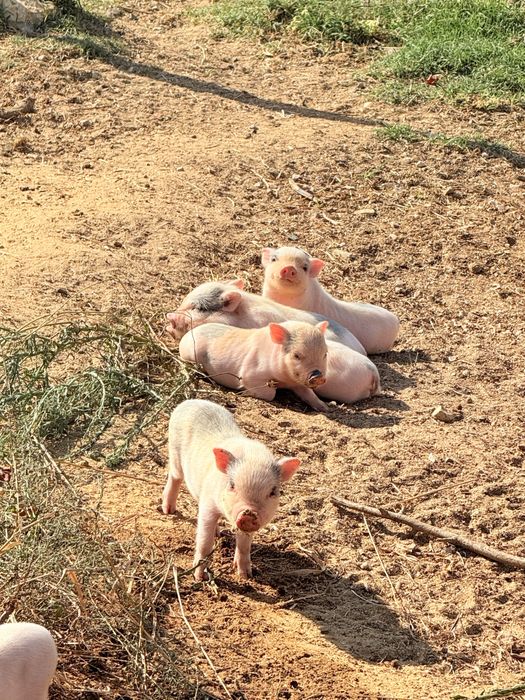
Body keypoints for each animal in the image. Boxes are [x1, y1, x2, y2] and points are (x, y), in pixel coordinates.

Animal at [162, 399, 300, 580]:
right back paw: (168, 510)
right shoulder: (209, 504)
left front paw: (245, 575)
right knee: (175, 477)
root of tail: (190, 401)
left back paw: (218, 534)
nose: (249, 513)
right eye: (232, 485)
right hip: (174, 453)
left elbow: (244, 545)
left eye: (273, 492)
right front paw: (200, 577)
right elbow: (204, 542)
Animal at [179, 320, 330, 412]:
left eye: (325, 354)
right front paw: (243, 392)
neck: (284, 380)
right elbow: (270, 393)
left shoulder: (297, 382)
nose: (318, 375)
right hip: (190, 354)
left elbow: (308, 393)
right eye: (297, 355)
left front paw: (325, 407)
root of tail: (186, 335)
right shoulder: (249, 372)